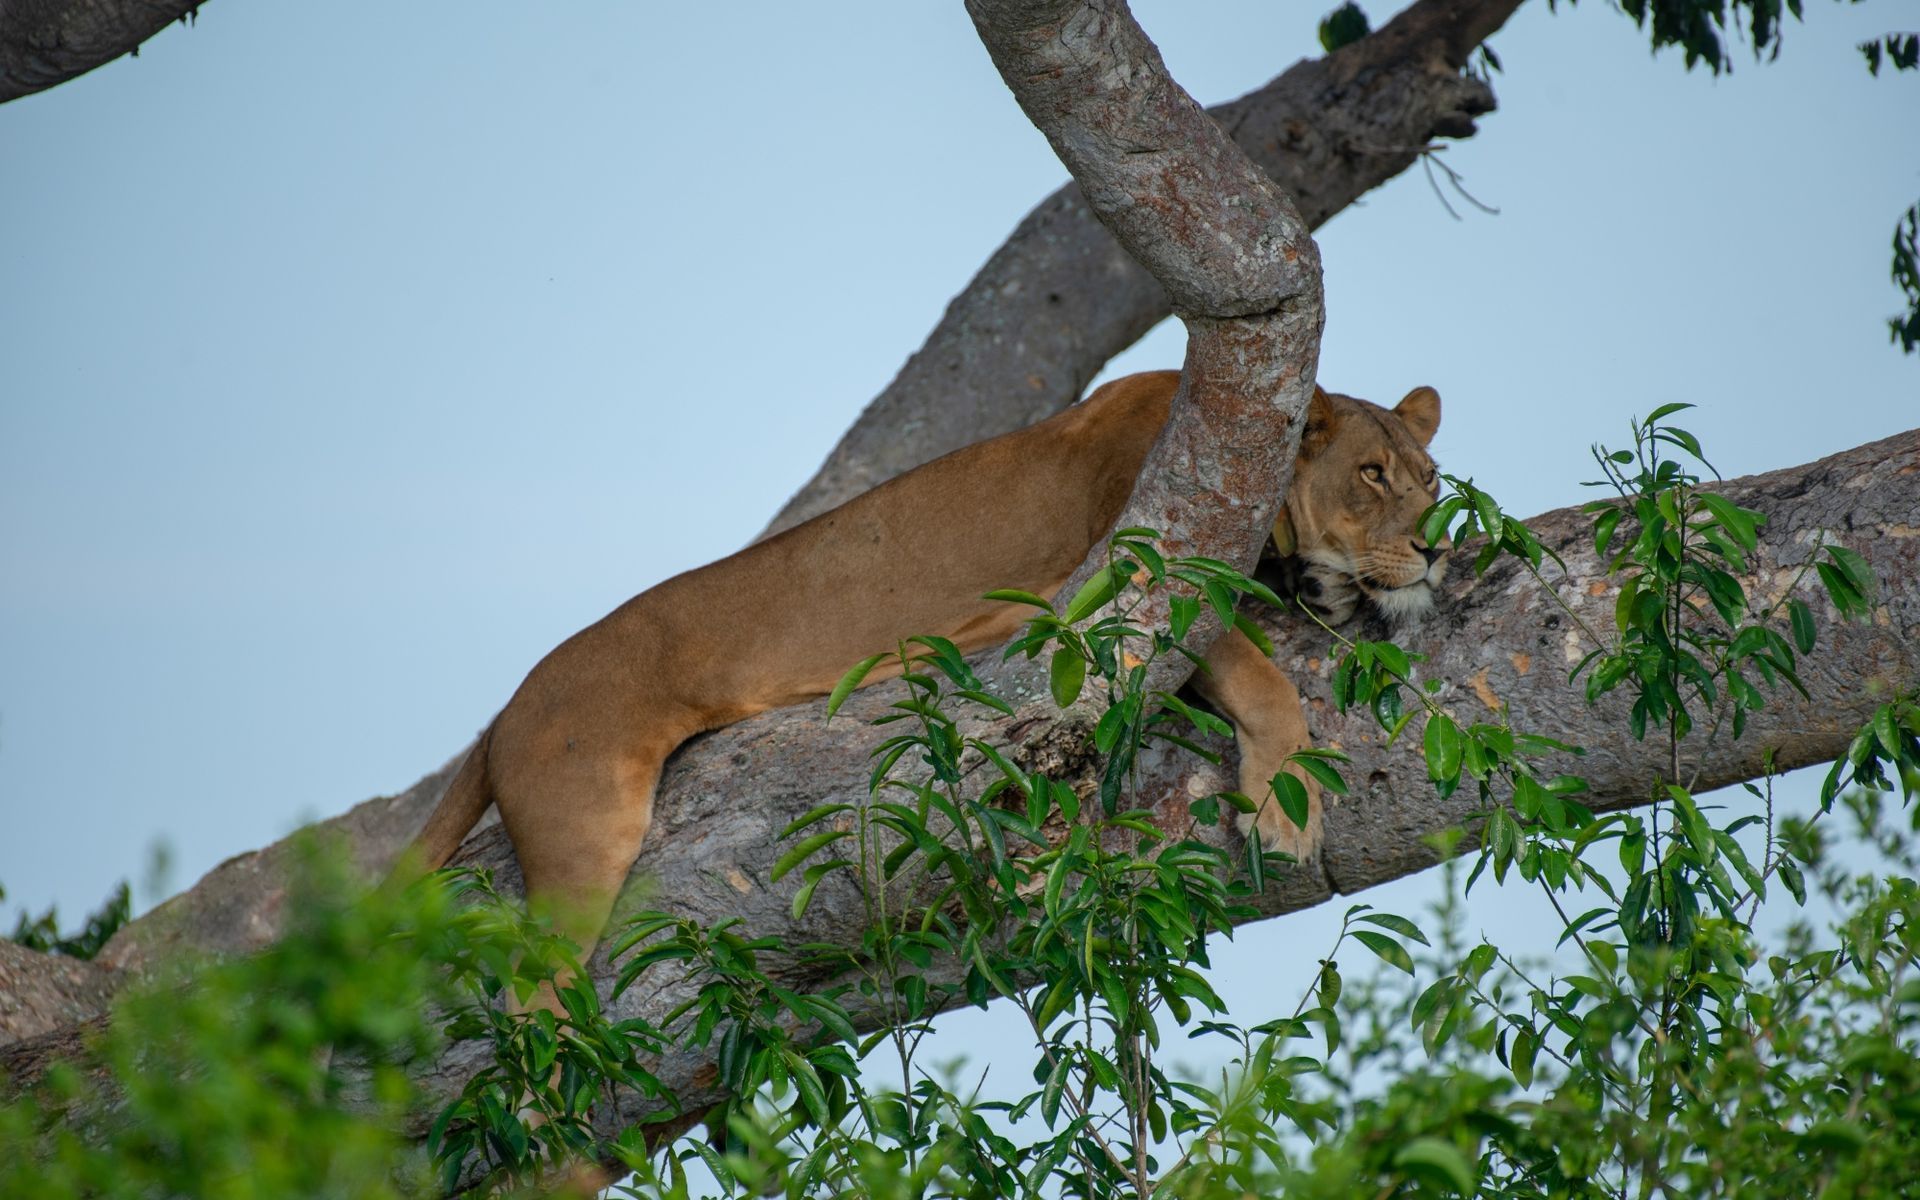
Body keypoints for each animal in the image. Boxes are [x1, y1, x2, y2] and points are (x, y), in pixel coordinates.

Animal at [405, 370, 1445, 964]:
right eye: (1373, 475)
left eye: (1431, 479)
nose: (1433, 549)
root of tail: (501, 717)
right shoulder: (1140, 573)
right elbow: (1264, 682)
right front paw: (1286, 809)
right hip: (585, 832)